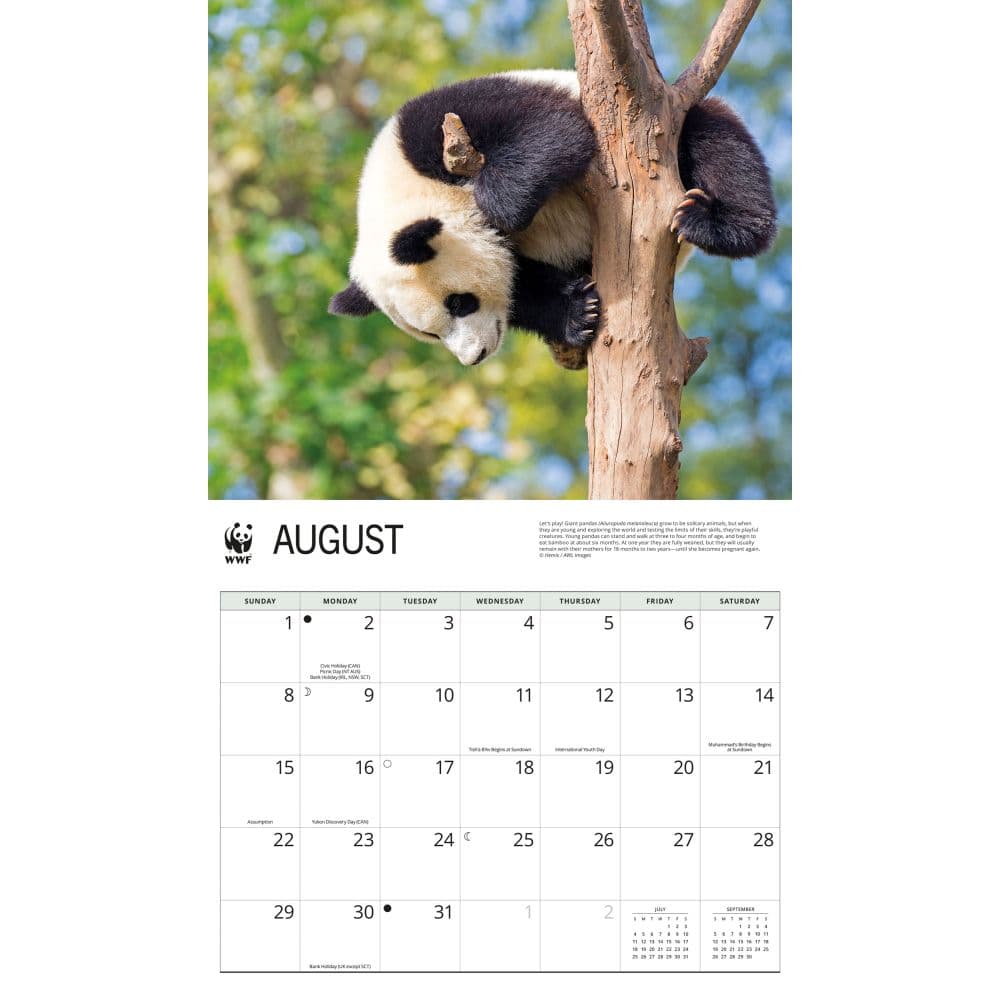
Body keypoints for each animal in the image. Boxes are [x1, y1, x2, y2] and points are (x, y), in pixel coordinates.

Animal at [329, 70, 775, 368]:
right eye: (429, 333)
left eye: (459, 303)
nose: (475, 356)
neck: (408, 187)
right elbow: (522, 285)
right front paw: (577, 311)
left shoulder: (441, 125)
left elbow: (551, 128)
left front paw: (498, 204)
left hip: (675, 125)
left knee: (717, 140)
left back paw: (715, 223)